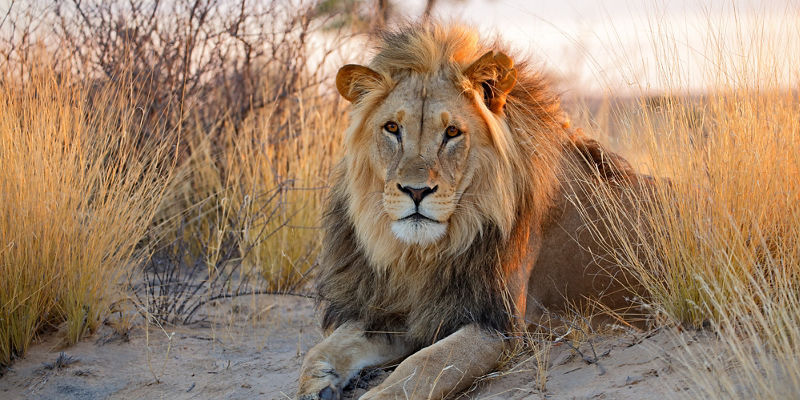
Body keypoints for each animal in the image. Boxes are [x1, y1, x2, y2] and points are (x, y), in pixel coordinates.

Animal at [297, 24, 650, 400]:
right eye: (392, 128)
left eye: (452, 132)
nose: (416, 191)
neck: (420, 256)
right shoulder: (401, 312)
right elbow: (323, 349)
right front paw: (318, 384)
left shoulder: (499, 326)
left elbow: (424, 366)